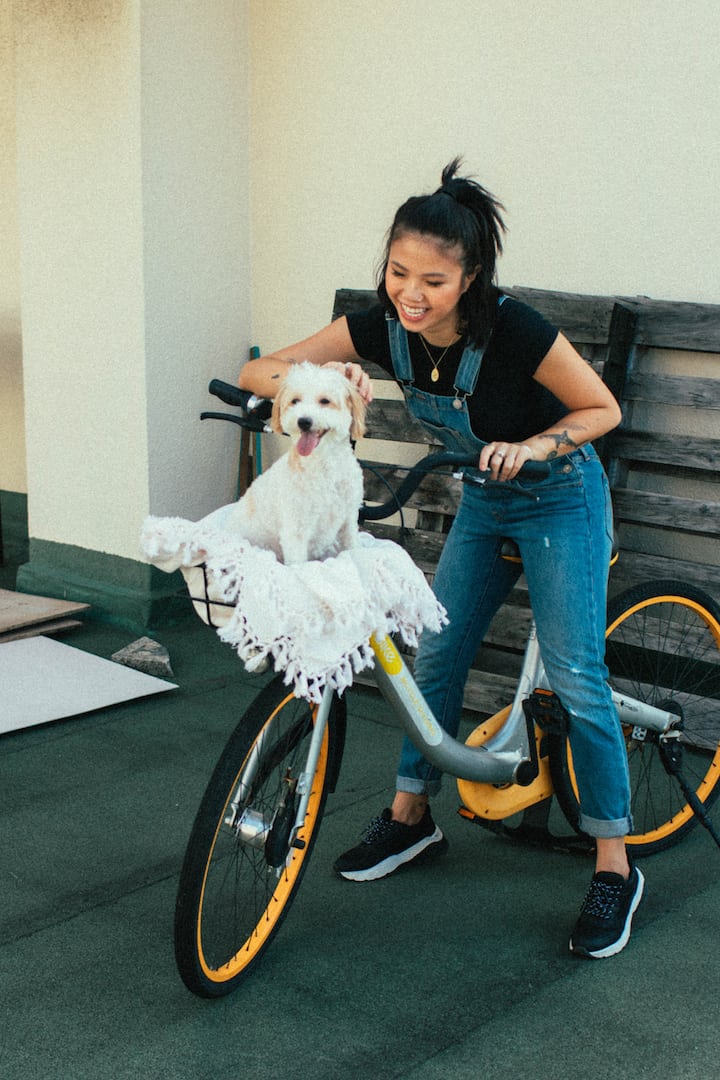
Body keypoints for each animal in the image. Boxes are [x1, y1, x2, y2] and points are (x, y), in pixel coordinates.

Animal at [218, 362, 367, 565]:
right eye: (295, 401)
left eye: (325, 401)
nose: (303, 421)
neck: (323, 467)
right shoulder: (295, 531)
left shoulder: (349, 520)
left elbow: (353, 548)